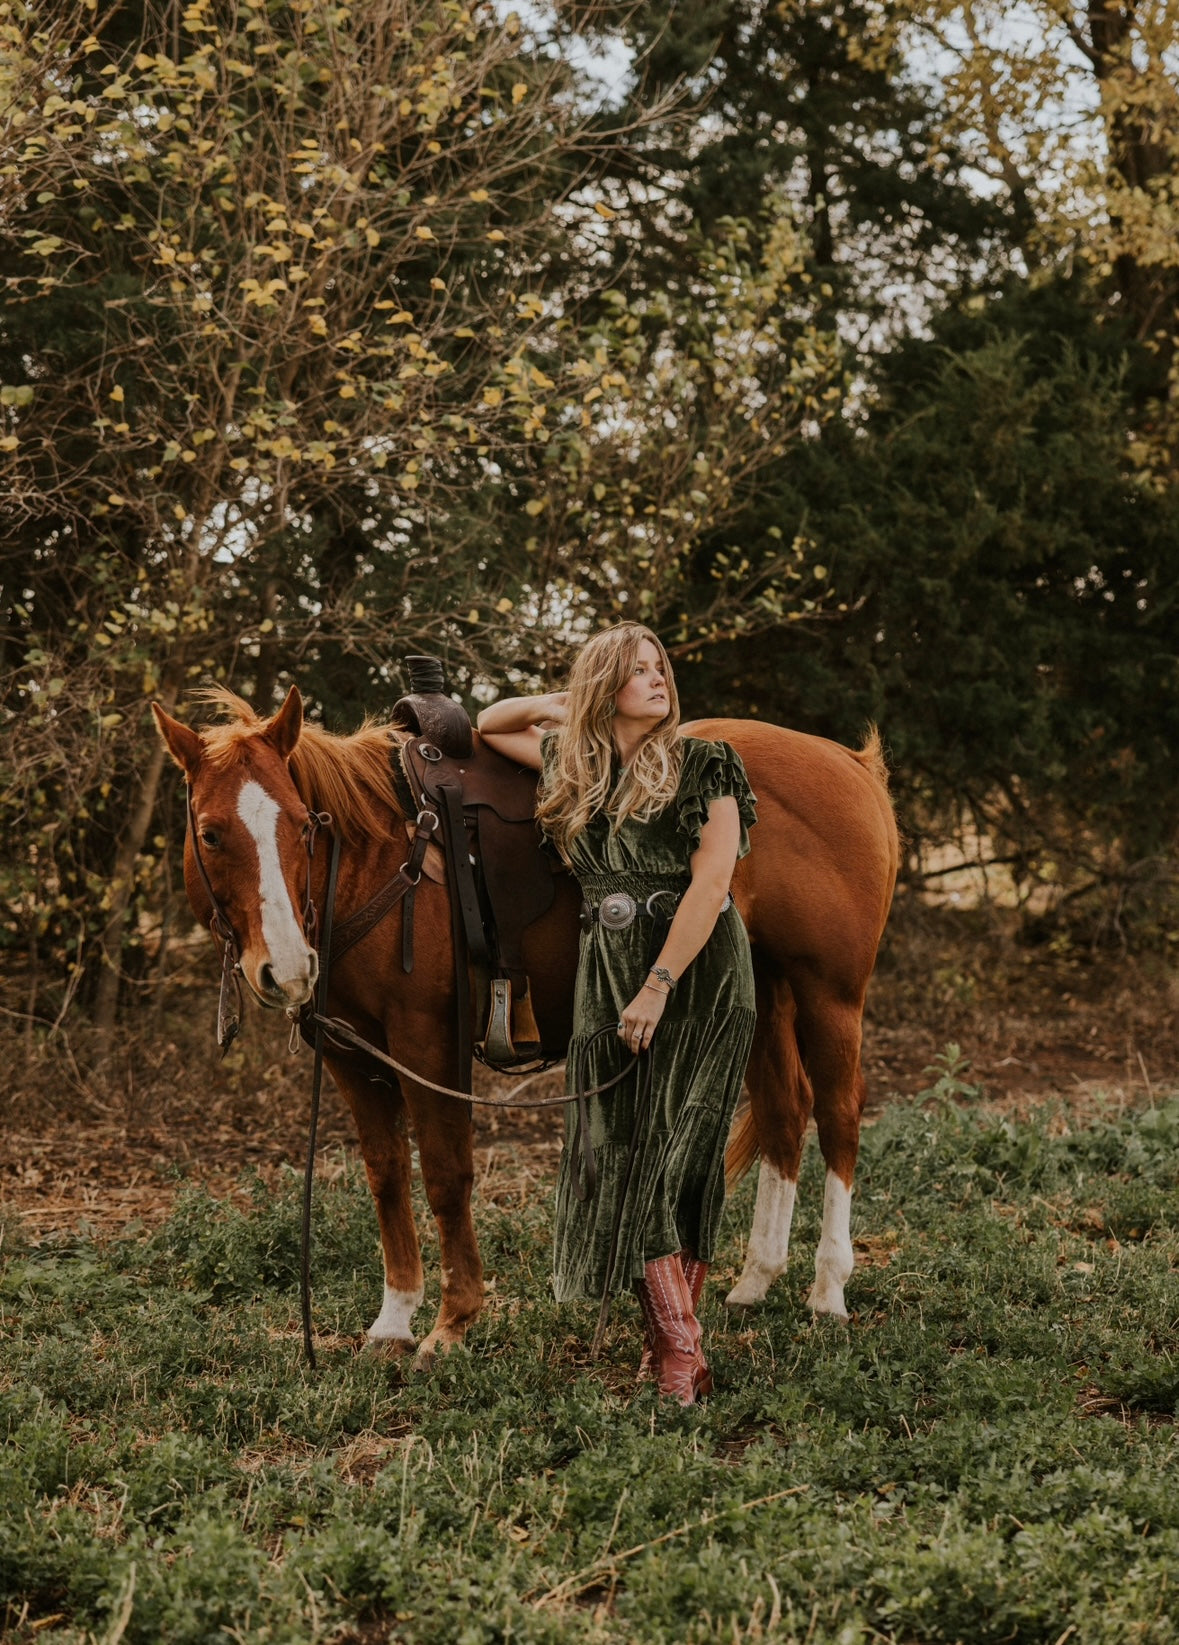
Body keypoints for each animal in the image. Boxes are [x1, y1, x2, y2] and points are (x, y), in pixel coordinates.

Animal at [152, 681, 894, 1362]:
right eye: (211, 834)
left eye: (304, 825)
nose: (285, 967)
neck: (379, 858)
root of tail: (852, 765)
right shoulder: (349, 1052)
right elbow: (387, 1174)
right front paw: (394, 1318)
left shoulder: (426, 1044)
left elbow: (445, 1173)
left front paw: (453, 1321)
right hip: (761, 987)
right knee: (783, 1111)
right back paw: (755, 1280)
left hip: (828, 993)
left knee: (837, 1114)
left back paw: (828, 1289)